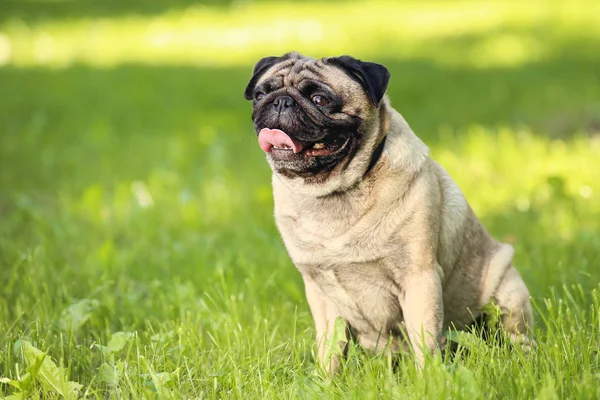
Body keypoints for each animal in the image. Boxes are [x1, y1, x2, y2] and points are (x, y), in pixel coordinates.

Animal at [244, 52, 536, 372]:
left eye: (320, 99)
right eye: (260, 95)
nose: (280, 102)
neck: (335, 193)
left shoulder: (419, 278)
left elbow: (425, 343)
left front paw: (428, 379)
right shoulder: (320, 292)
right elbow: (329, 349)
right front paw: (325, 379)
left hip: (507, 289)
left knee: (515, 334)